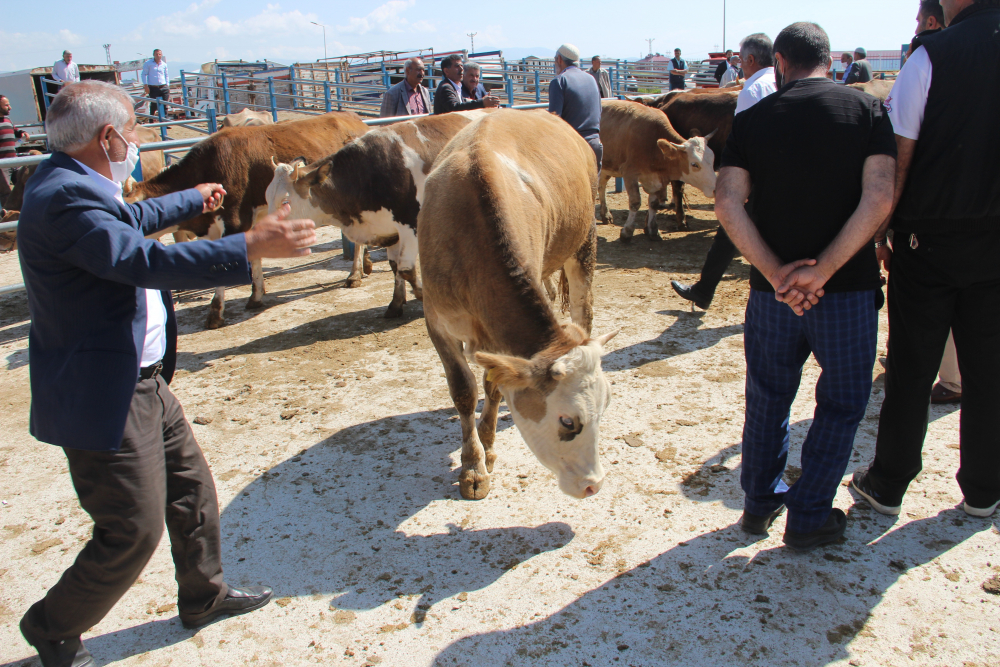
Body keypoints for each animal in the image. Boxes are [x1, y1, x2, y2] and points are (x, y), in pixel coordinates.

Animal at [127, 113, 370, 330]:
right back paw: (366, 264)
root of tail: (354, 119)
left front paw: (215, 313)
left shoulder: (235, 222)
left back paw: (355, 274)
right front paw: (256, 295)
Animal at [262, 109, 488, 318]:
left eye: (285, 201)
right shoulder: (388, 229)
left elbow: (406, 269)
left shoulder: (411, 225)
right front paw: (396, 303)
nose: (267, 234)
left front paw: (422, 295)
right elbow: (395, 266)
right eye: (266, 197)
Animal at [416, 109, 616, 504]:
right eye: (567, 421)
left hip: (584, 241)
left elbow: (493, 385)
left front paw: (488, 447)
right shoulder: (437, 322)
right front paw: (472, 467)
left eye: (605, 407)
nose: (594, 485)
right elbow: (464, 391)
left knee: (583, 311)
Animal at [596, 99, 716, 243]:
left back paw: (605, 214)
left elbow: (654, 203)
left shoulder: (657, 178)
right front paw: (627, 232)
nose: (716, 189)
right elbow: (635, 202)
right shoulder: (629, 173)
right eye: (694, 164)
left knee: (601, 186)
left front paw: (653, 230)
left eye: (713, 158)